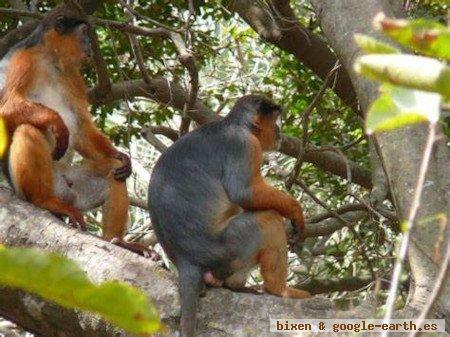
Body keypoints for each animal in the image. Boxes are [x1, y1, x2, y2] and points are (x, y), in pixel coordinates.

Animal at [0, 7, 151, 255]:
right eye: (84, 34)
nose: (90, 44)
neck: (51, 60)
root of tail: (63, 192)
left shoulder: (72, 73)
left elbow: (81, 128)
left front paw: (121, 156)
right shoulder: (22, 60)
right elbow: (5, 106)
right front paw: (56, 122)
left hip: (76, 190)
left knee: (114, 169)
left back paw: (117, 240)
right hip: (31, 186)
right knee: (28, 129)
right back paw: (43, 200)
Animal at [149, 94, 312, 336]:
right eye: (274, 122)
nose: (279, 132)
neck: (234, 124)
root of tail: (185, 261)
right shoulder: (244, 144)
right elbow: (243, 193)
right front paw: (295, 211)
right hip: (227, 248)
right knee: (269, 219)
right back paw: (278, 290)